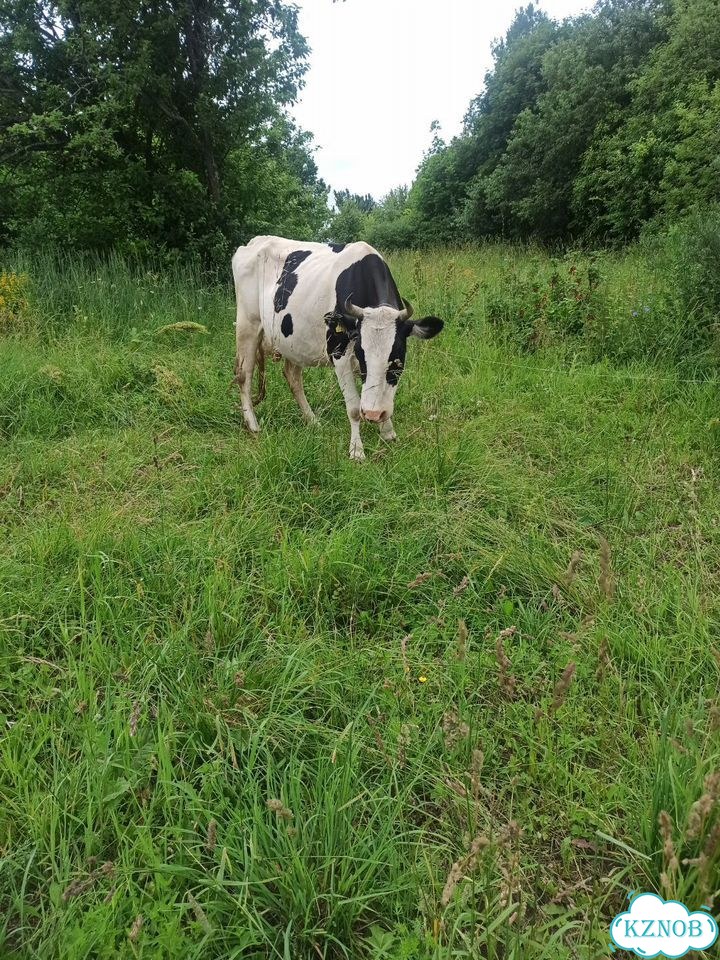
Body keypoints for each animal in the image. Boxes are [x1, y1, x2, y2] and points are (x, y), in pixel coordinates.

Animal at [232, 236, 444, 460]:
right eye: (361, 354)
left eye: (397, 360)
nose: (373, 414)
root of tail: (255, 241)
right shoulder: (339, 353)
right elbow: (353, 408)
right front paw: (357, 450)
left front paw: (388, 433)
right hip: (247, 324)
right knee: (244, 374)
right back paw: (253, 425)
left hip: (293, 341)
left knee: (292, 376)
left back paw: (312, 420)